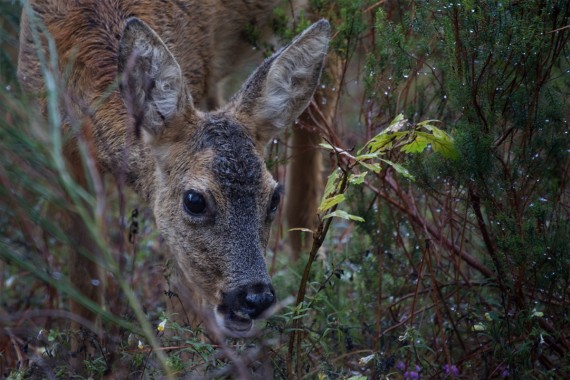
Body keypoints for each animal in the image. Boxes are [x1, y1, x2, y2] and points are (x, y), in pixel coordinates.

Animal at [18, 0, 328, 338]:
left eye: (273, 198)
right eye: (195, 200)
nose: (255, 298)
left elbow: (182, 299)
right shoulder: (59, 144)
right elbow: (83, 278)